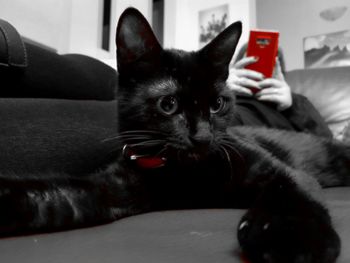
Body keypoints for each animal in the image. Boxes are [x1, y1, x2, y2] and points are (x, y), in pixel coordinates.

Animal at [0, 7, 348, 262]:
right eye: (169, 104)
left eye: (217, 104)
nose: (202, 137)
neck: (186, 173)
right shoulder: (110, 188)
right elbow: (57, 193)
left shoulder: (278, 170)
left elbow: (291, 190)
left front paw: (292, 238)